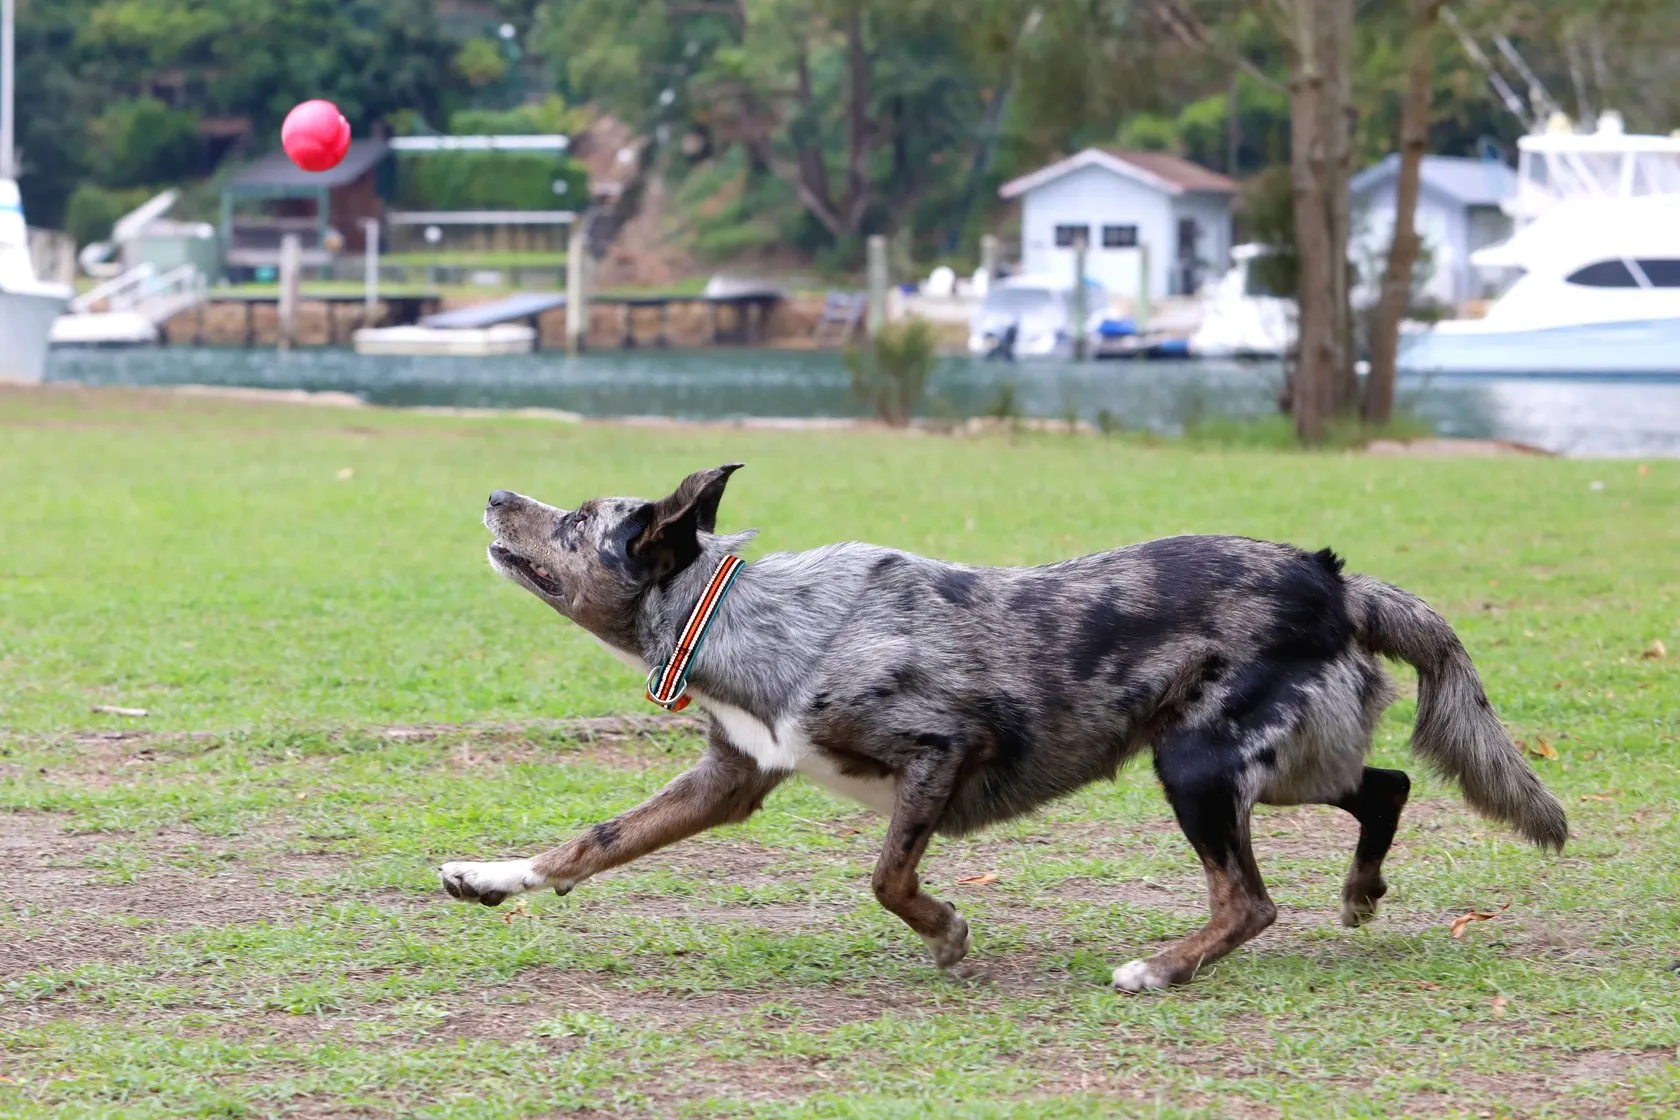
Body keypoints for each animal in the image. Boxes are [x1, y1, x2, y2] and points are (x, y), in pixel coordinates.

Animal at [440, 463, 1565, 987]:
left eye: (576, 523)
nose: (493, 492)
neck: (745, 612)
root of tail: (1333, 579)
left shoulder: (943, 749)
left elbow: (888, 876)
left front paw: (947, 933)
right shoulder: (734, 779)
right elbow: (595, 841)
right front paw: (493, 879)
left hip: (1195, 763)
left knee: (1250, 899)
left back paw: (1162, 968)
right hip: (1280, 763)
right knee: (1388, 786)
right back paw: (1361, 892)